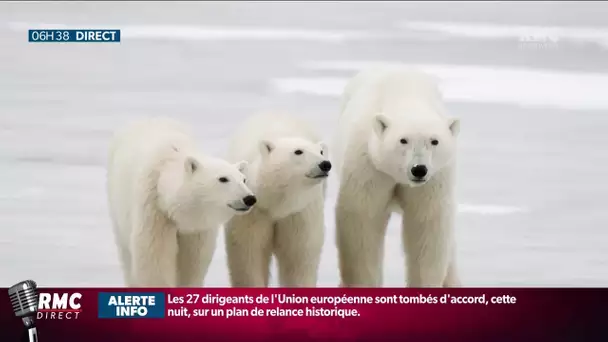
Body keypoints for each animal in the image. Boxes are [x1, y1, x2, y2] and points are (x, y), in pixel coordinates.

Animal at [108, 117, 255, 286]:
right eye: (223, 178)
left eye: (244, 179)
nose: (249, 199)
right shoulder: (154, 210)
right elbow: (154, 256)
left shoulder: (197, 229)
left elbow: (193, 262)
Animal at [223, 113, 330, 288]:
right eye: (298, 151)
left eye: (321, 151)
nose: (325, 164)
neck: (277, 204)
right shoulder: (255, 214)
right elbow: (249, 255)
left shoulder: (298, 213)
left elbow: (298, 258)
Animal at [332, 67, 460, 286]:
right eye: (403, 140)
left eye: (434, 141)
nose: (419, 169)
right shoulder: (369, 166)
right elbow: (363, 219)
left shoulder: (434, 180)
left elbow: (426, 223)